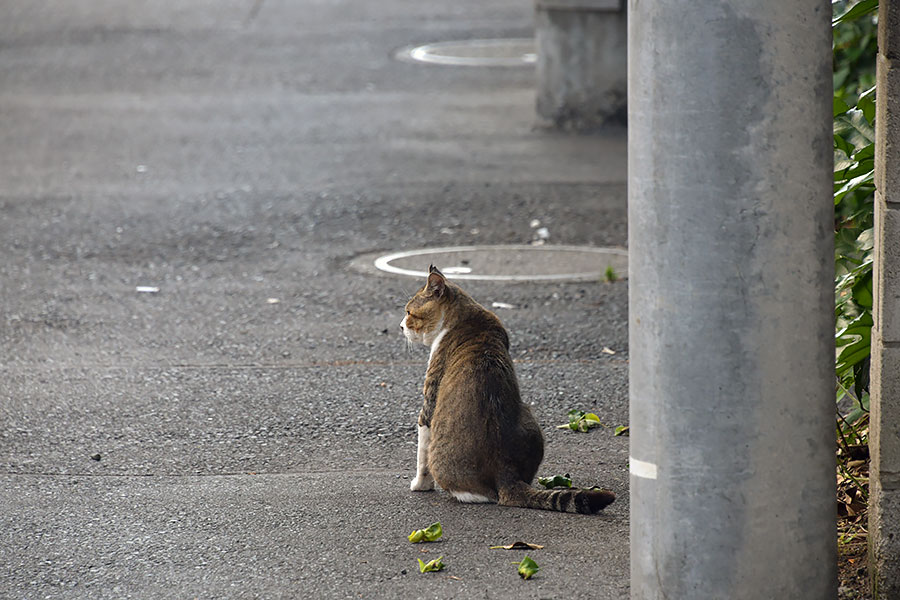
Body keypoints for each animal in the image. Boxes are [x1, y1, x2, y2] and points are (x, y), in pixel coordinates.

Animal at [400, 264, 616, 512]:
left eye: (409, 312)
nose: (400, 326)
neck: (465, 316)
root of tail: (506, 474)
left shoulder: (429, 403)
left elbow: (422, 454)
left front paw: (420, 485)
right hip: (530, 417)